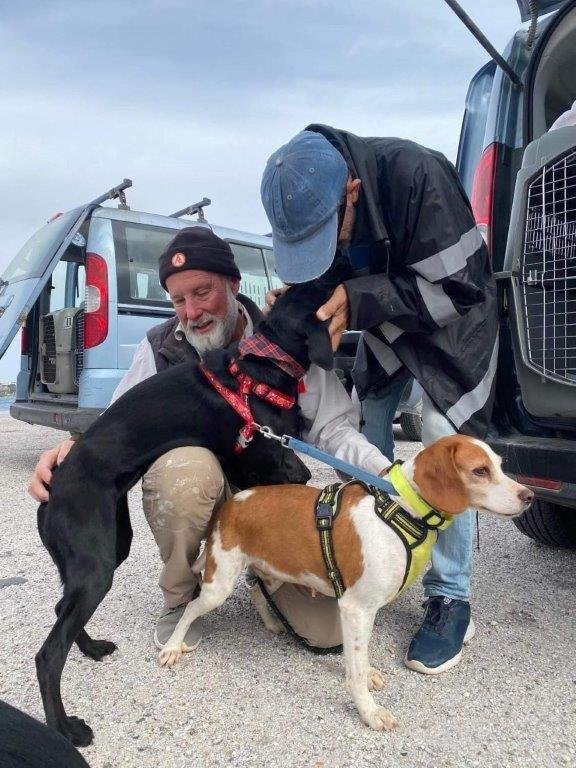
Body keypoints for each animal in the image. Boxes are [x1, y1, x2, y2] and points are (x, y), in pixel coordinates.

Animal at [35, 280, 332, 748]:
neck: (261, 368)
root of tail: (51, 491)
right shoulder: (270, 462)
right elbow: (289, 483)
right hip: (96, 566)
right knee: (48, 655)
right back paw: (65, 727)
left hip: (110, 547)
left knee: (61, 607)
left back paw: (91, 647)